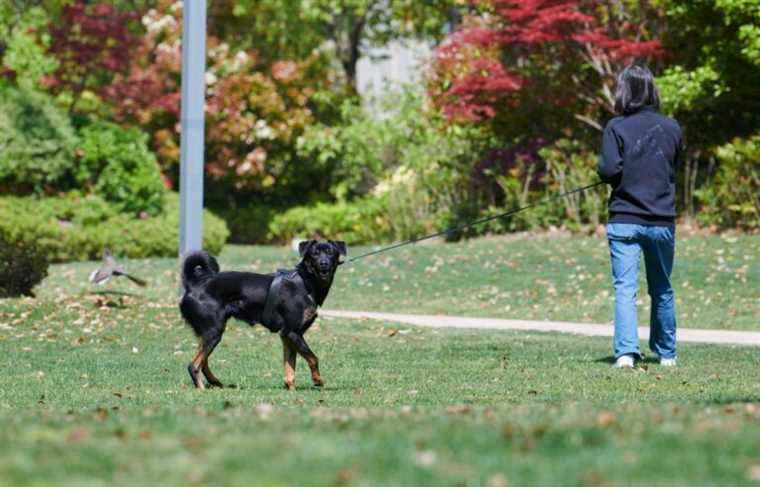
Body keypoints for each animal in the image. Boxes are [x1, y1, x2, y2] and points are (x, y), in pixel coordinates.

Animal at [177, 241, 346, 392]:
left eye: (330, 252)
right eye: (314, 254)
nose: (324, 263)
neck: (305, 282)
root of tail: (194, 284)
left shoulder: (286, 336)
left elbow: (290, 366)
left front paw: (290, 388)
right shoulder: (293, 332)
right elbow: (313, 358)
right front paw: (317, 380)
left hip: (209, 332)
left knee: (203, 361)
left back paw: (214, 382)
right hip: (214, 332)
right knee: (194, 365)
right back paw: (201, 388)